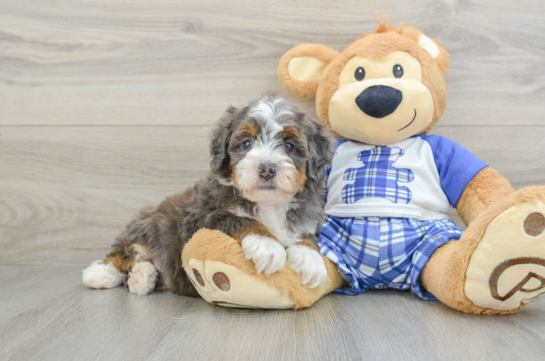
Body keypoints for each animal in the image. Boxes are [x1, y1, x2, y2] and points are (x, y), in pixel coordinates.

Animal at [82, 95, 334, 296]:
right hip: (146, 223)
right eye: (246, 143)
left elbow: (307, 239)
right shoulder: (203, 218)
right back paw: (99, 273)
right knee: (123, 253)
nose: (266, 169)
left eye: (289, 146)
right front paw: (267, 246)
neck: (269, 204)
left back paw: (141, 277)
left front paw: (312, 261)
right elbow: (242, 219)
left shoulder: (308, 221)